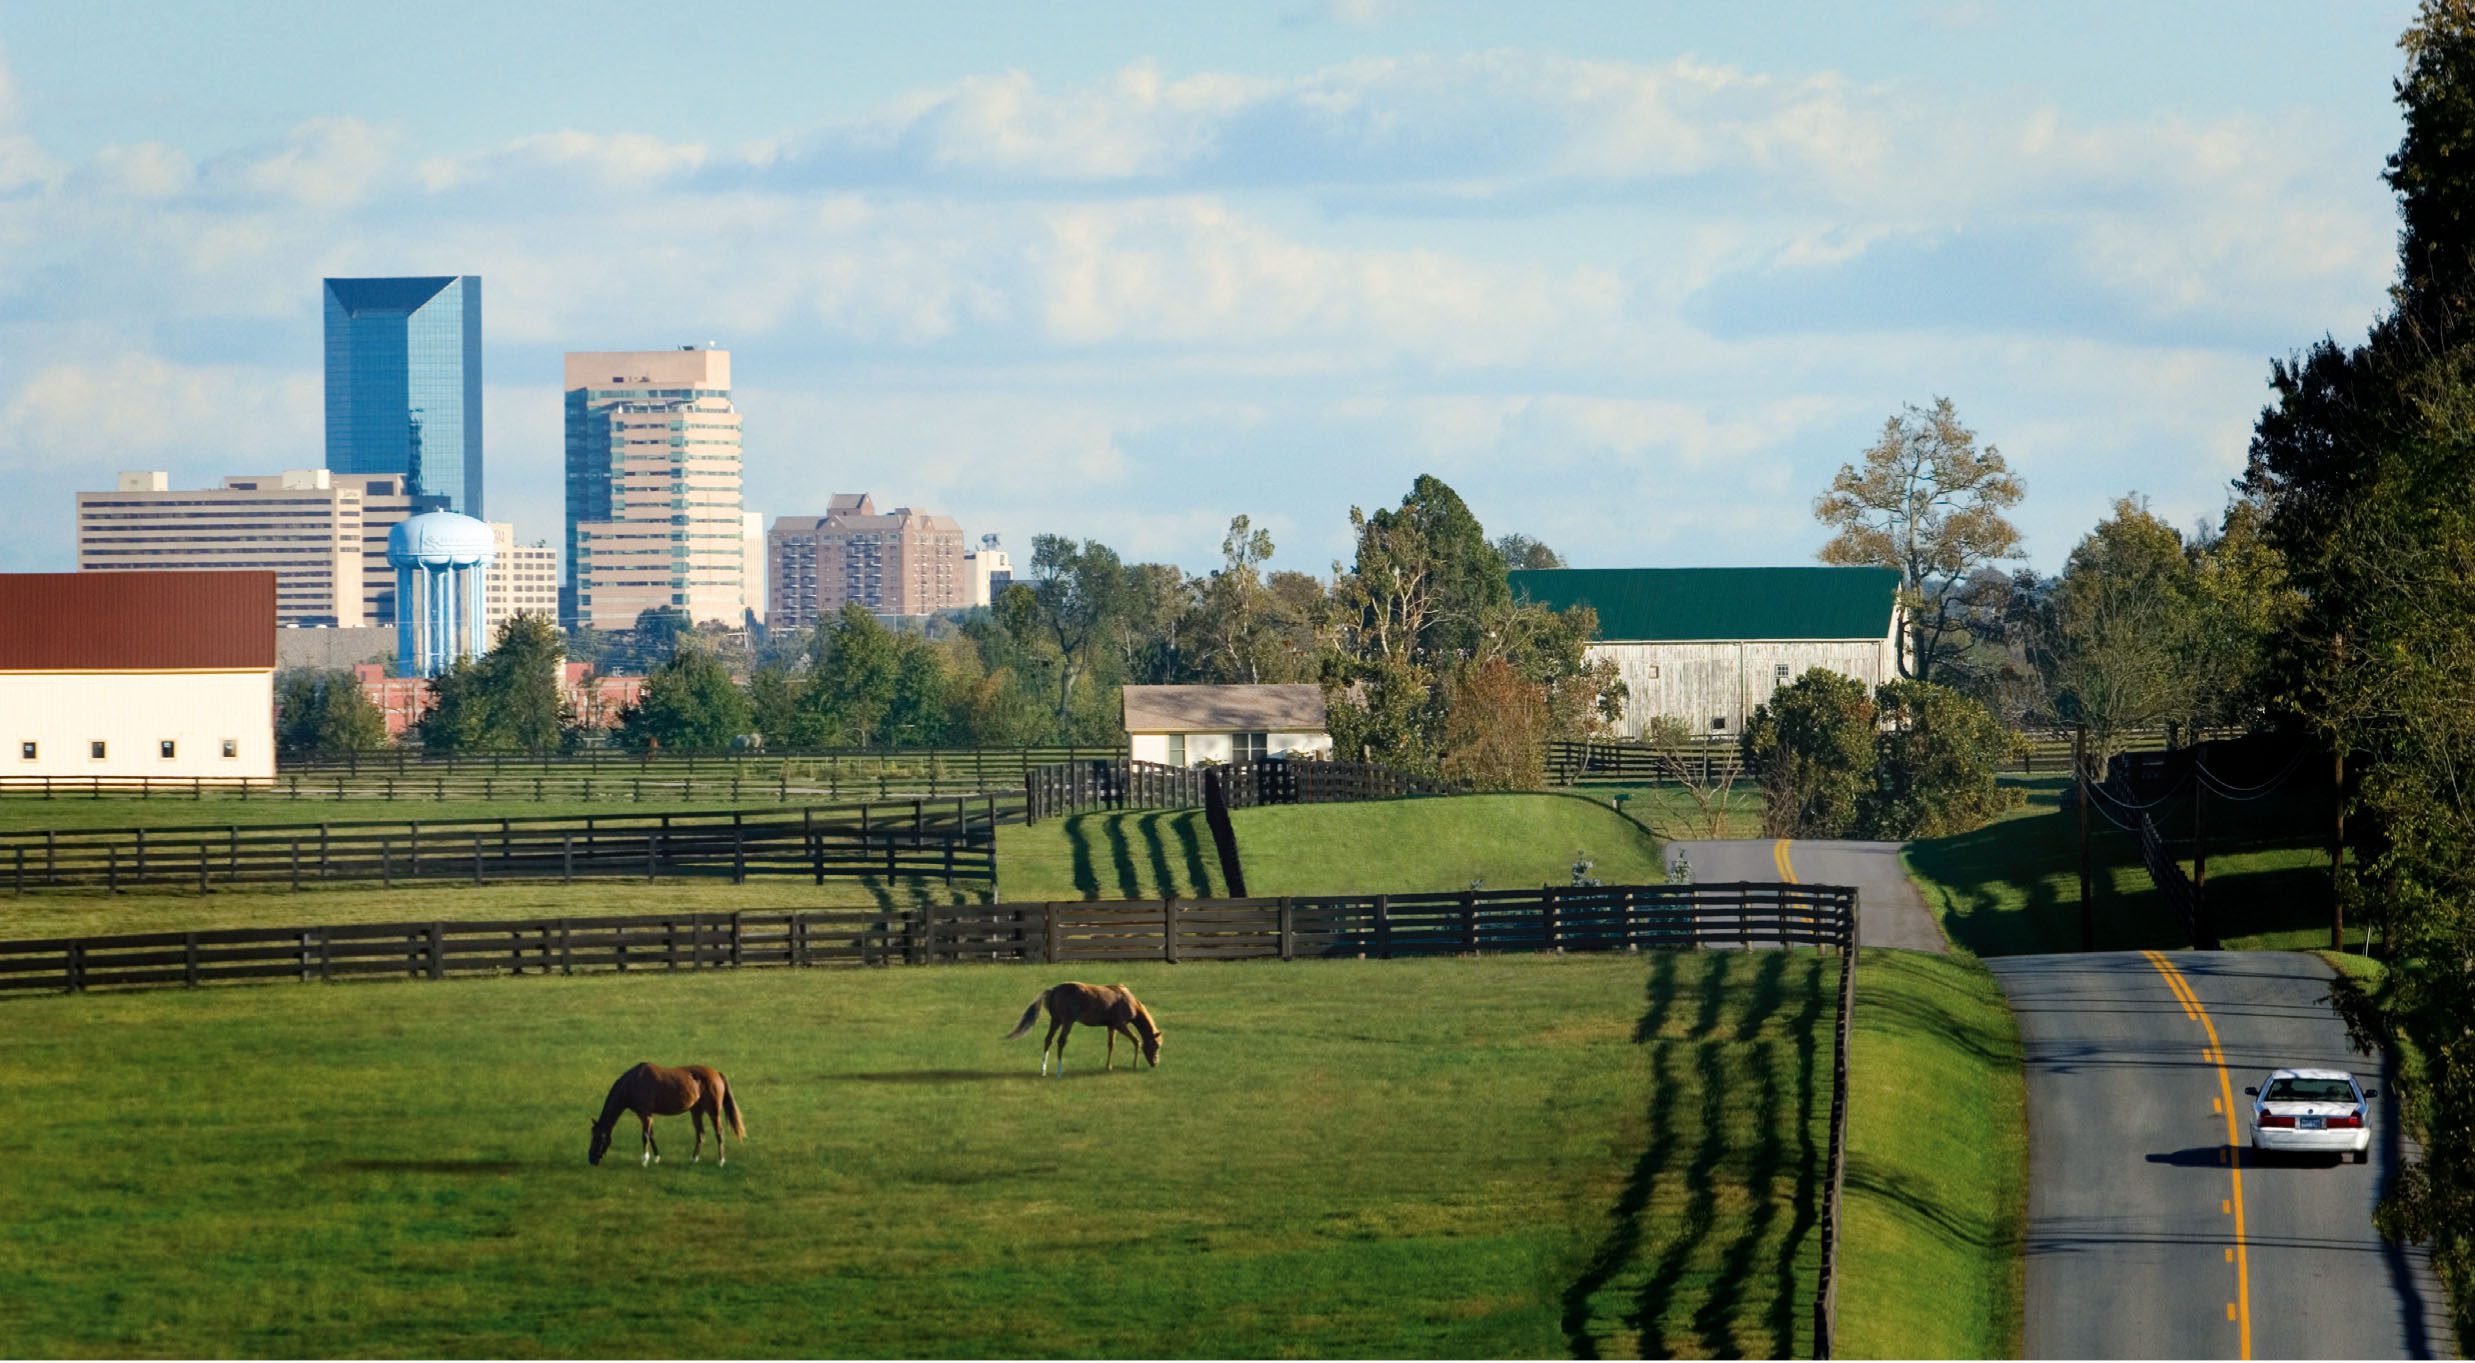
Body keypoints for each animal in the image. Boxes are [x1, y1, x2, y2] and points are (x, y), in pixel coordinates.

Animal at [589, 1063, 742, 1167]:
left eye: (598, 1138)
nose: (591, 1159)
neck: (634, 1082)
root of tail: (717, 1074)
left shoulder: (645, 1114)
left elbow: (645, 1136)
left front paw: (644, 1160)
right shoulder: (645, 1115)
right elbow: (651, 1135)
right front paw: (656, 1158)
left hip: (713, 1111)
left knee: (719, 1133)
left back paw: (720, 1161)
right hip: (696, 1111)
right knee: (701, 1134)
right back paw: (694, 1159)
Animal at [999, 979, 1163, 1078]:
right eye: (1155, 1045)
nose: (1155, 1063)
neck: (1128, 1000)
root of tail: (1054, 989)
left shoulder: (1111, 1027)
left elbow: (1111, 1045)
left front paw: (1108, 1066)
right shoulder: (1120, 1025)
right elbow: (1136, 1041)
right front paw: (1134, 1065)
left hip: (1056, 1021)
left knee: (1048, 1040)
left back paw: (1043, 1070)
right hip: (1067, 1022)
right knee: (1060, 1041)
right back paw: (1059, 1071)